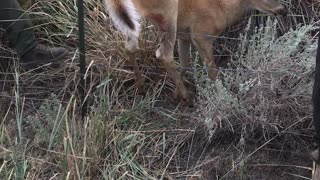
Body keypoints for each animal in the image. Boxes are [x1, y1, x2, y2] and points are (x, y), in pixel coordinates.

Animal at [104, 0, 286, 105]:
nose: (282, 9)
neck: (222, 7)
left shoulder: (184, 36)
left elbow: (185, 63)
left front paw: (176, 93)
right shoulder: (201, 34)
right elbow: (212, 69)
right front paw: (219, 95)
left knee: (130, 47)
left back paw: (142, 86)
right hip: (168, 14)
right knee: (163, 54)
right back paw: (188, 98)